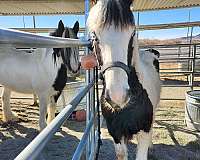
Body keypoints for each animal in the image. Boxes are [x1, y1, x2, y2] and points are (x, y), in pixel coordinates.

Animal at [87, 0, 161, 160]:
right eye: (95, 36)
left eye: (132, 33)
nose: (118, 96)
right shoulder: (115, 132)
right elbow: (121, 153)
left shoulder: (144, 130)